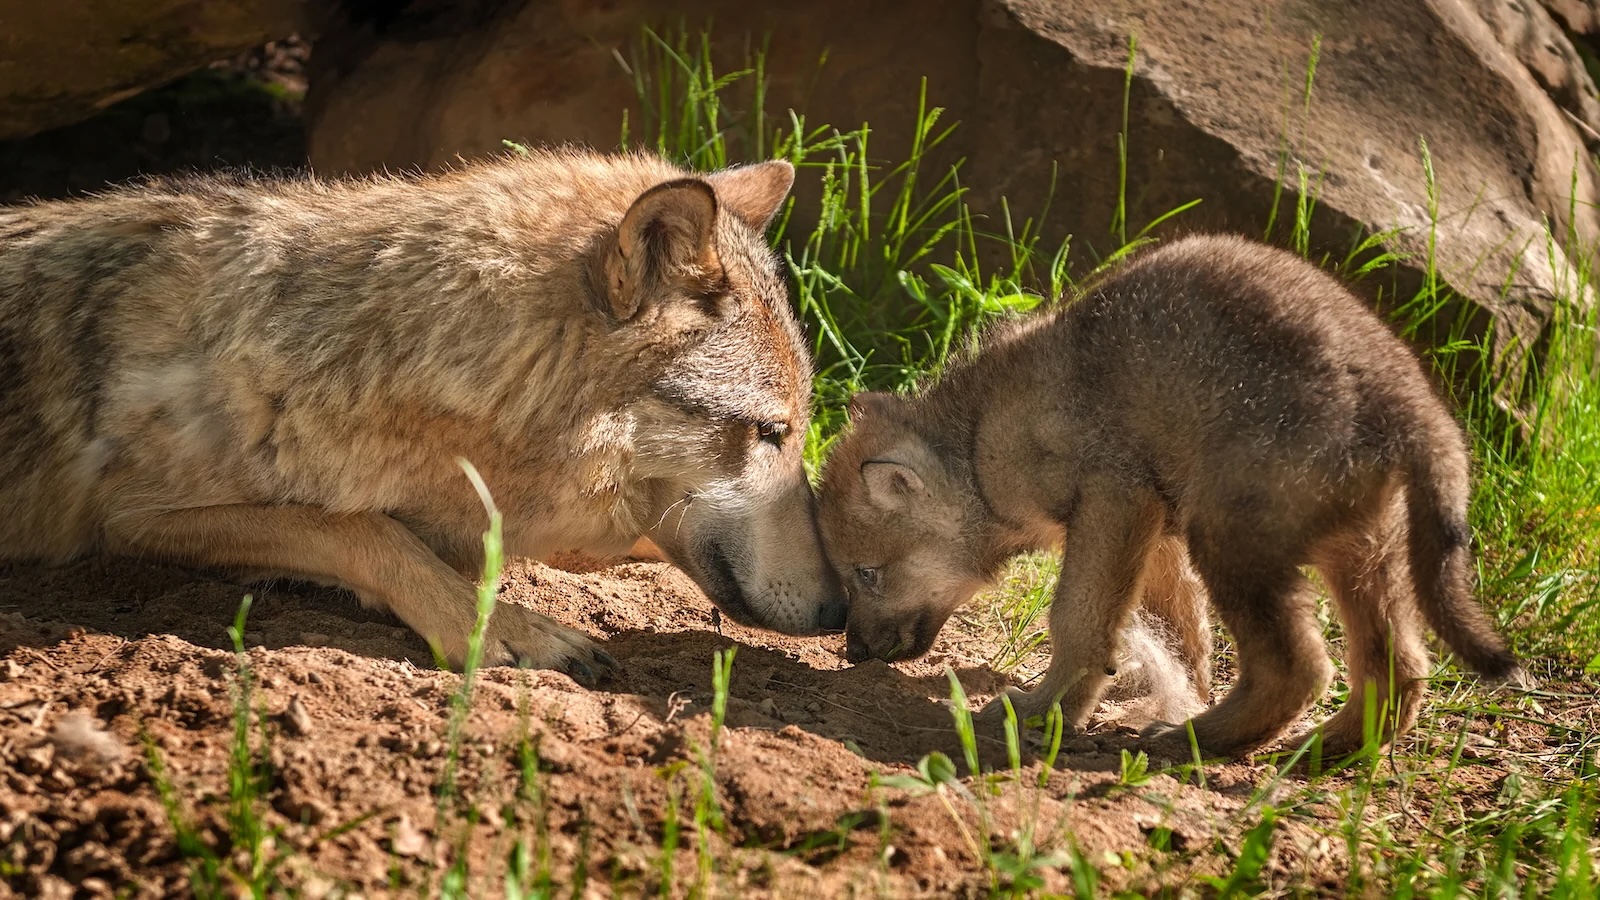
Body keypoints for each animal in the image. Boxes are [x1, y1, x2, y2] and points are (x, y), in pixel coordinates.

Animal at [0, 149, 846, 683]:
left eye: (798, 430)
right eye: (770, 432)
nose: (840, 607)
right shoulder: (134, 518)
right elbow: (363, 528)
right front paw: (508, 630)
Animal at [817, 234, 1526, 756]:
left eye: (866, 573)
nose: (852, 653)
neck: (980, 436)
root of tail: (1410, 408)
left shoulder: (1114, 499)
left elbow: (1079, 622)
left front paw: (1046, 713)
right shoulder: (1154, 525)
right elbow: (1184, 634)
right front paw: (1163, 688)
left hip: (1232, 542)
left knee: (1300, 667)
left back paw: (1194, 738)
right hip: (1360, 555)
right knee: (1397, 668)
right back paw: (1321, 749)